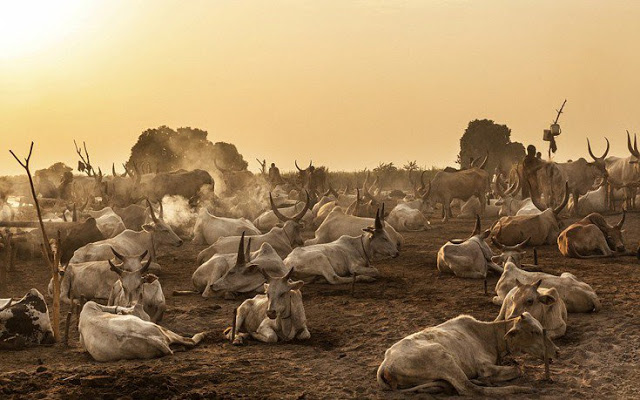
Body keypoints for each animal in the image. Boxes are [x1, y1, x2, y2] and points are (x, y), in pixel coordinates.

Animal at [378, 312, 556, 394]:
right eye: (534, 332)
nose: (557, 351)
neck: (488, 335)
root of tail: (385, 364)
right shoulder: (484, 367)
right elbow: (518, 369)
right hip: (443, 357)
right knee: (470, 389)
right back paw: (520, 389)